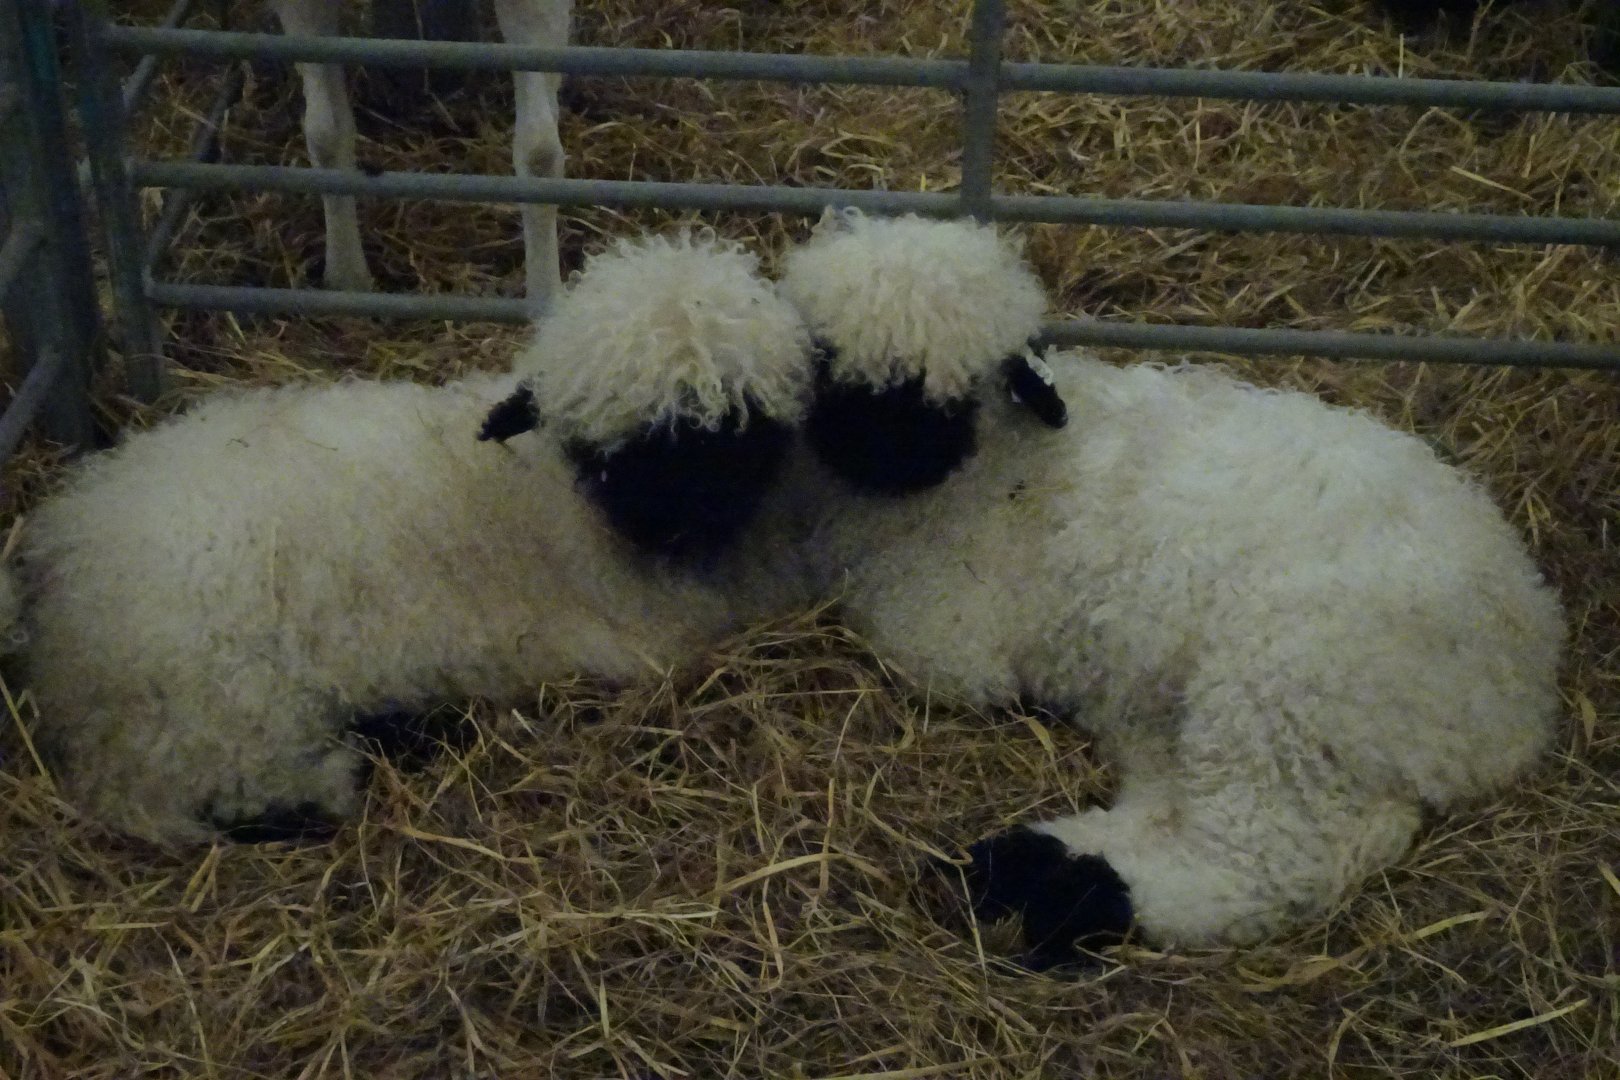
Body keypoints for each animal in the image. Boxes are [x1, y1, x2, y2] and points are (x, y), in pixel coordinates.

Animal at [772, 211, 1566, 964]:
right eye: (833, 363)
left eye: (950, 394)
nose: (882, 454)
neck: (999, 468)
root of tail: (1523, 691)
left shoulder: (949, 638)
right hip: (1197, 717)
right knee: (1190, 809)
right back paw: (1028, 869)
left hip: (1287, 696)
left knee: (1266, 859)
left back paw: (1074, 894)